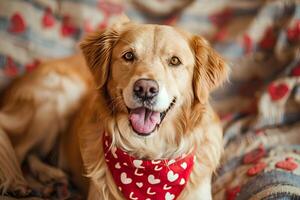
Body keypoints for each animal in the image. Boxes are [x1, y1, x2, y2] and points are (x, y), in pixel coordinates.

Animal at [0, 17, 227, 200]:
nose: (145, 89)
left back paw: (50, 179)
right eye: (128, 56)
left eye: (174, 61)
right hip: (61, 93)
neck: (149, 155)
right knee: (18, 150)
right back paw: (19, 183)